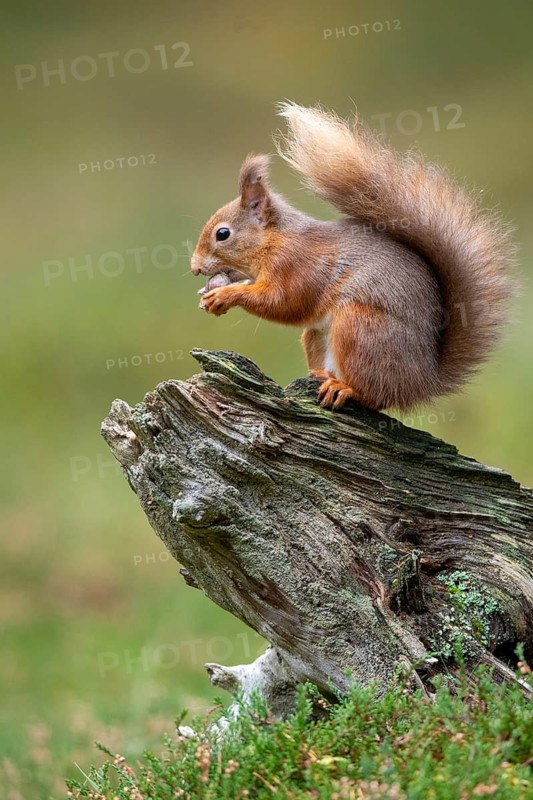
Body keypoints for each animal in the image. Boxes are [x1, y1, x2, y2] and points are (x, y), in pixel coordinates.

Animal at [191, 102, 514, 411]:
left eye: (223, 234)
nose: (194, 267)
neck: (276, 240)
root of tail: (422, 382)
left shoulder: (297, 264)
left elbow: (284, 302)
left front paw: (225, 296)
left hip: (359, 327)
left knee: (376, 396)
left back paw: (344, 388)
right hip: (318, 336)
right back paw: (321, 375)